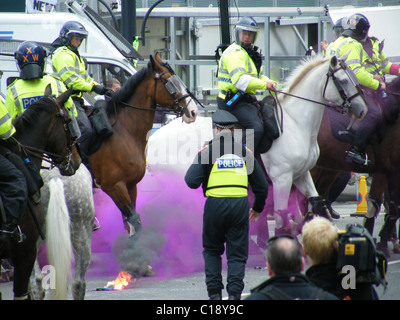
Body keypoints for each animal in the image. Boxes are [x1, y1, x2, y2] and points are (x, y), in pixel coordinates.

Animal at [89, 53, 198, 236]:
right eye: (169, 82)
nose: (193, 111)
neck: (123, 132)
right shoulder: (114, 187)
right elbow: (135, 221)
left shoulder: (130, 186)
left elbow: (131, 226)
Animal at [146, 54, 366, 235]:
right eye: (343, 80)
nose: (362, 110)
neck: (294, 123)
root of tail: (154, 138)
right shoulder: (281, 179)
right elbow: (281, 218)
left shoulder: (301, 175)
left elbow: (314, 204)